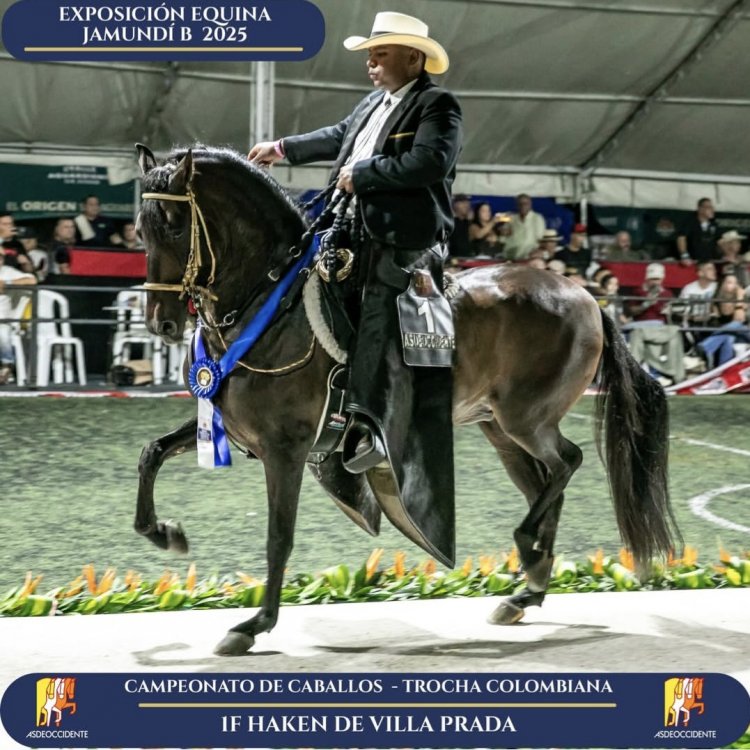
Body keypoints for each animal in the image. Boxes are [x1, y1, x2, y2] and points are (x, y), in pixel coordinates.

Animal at [134, 144, 678, 656]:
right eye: (140, 230)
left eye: (175, 226)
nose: (162, 324)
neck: (271, 308)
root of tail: (586, 297)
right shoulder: (228, 425)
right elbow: (151, 453)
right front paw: (164, 532)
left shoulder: (285, 449)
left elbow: (278, 536)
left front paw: (253, 626)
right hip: (499, 429)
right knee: (546, 484)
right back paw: (528, 589)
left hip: (526, 419)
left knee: (568, 461)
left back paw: (529, 555)